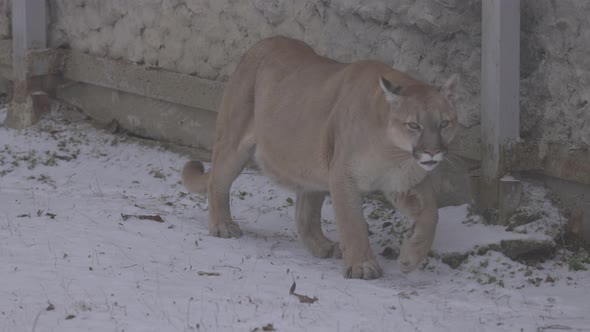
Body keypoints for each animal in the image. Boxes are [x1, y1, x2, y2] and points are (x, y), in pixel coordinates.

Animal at [183, 36, 460, 278]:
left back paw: (323, 246)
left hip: (311, 166)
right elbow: (352, 223)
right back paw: (222, 226)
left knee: (305, 214)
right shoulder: (343, 175)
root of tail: (263, 42)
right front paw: (362, 266)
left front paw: (410, 258)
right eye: (414, 125)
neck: (394, 153)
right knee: (217, 182)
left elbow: (431, 214)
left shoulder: (403, 182)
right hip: (234, 142)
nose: (433, 152)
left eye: (444, 123)